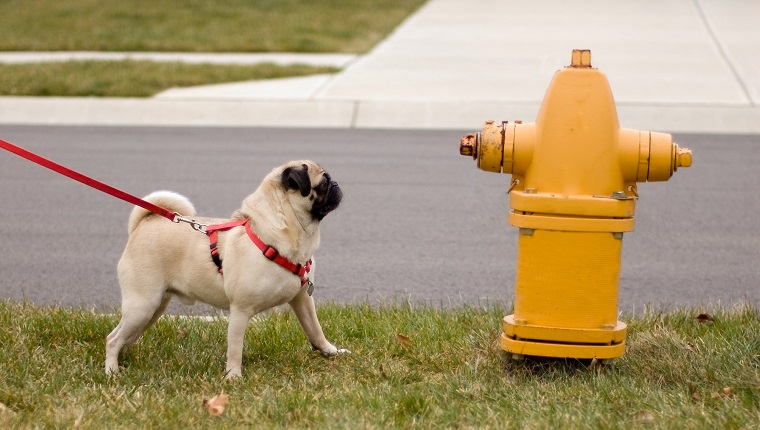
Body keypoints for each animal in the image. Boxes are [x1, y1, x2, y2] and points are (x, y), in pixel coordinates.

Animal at [104, 160, 348, 378]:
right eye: (323, 183)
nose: (337, 184)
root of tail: (143, 225)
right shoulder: (240, 310)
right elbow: (235, 348)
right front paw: (233, 376)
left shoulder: (302, 300)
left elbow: (315, 330)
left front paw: (330, 351)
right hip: (143, 305)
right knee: (112, 339)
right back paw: (112, 371)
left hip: (153, 308)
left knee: (125, 336)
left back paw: (123, 360)